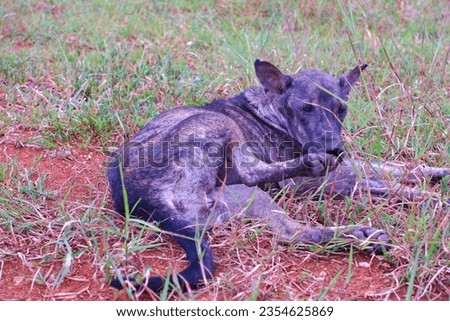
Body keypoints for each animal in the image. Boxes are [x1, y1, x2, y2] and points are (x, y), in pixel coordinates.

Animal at [108, 59, 446, 292]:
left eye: (341, 109)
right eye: (306, 108)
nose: (334, 149)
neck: (274, 111)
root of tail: (137, 197)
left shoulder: (347, 164)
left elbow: (388, 167)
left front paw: (437, 173)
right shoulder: (310, 184)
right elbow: (374, 184)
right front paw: (430, 198)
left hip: (239, 198)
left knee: (292, 228)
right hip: (220, 131)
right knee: (277, 210)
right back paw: (355, 227)